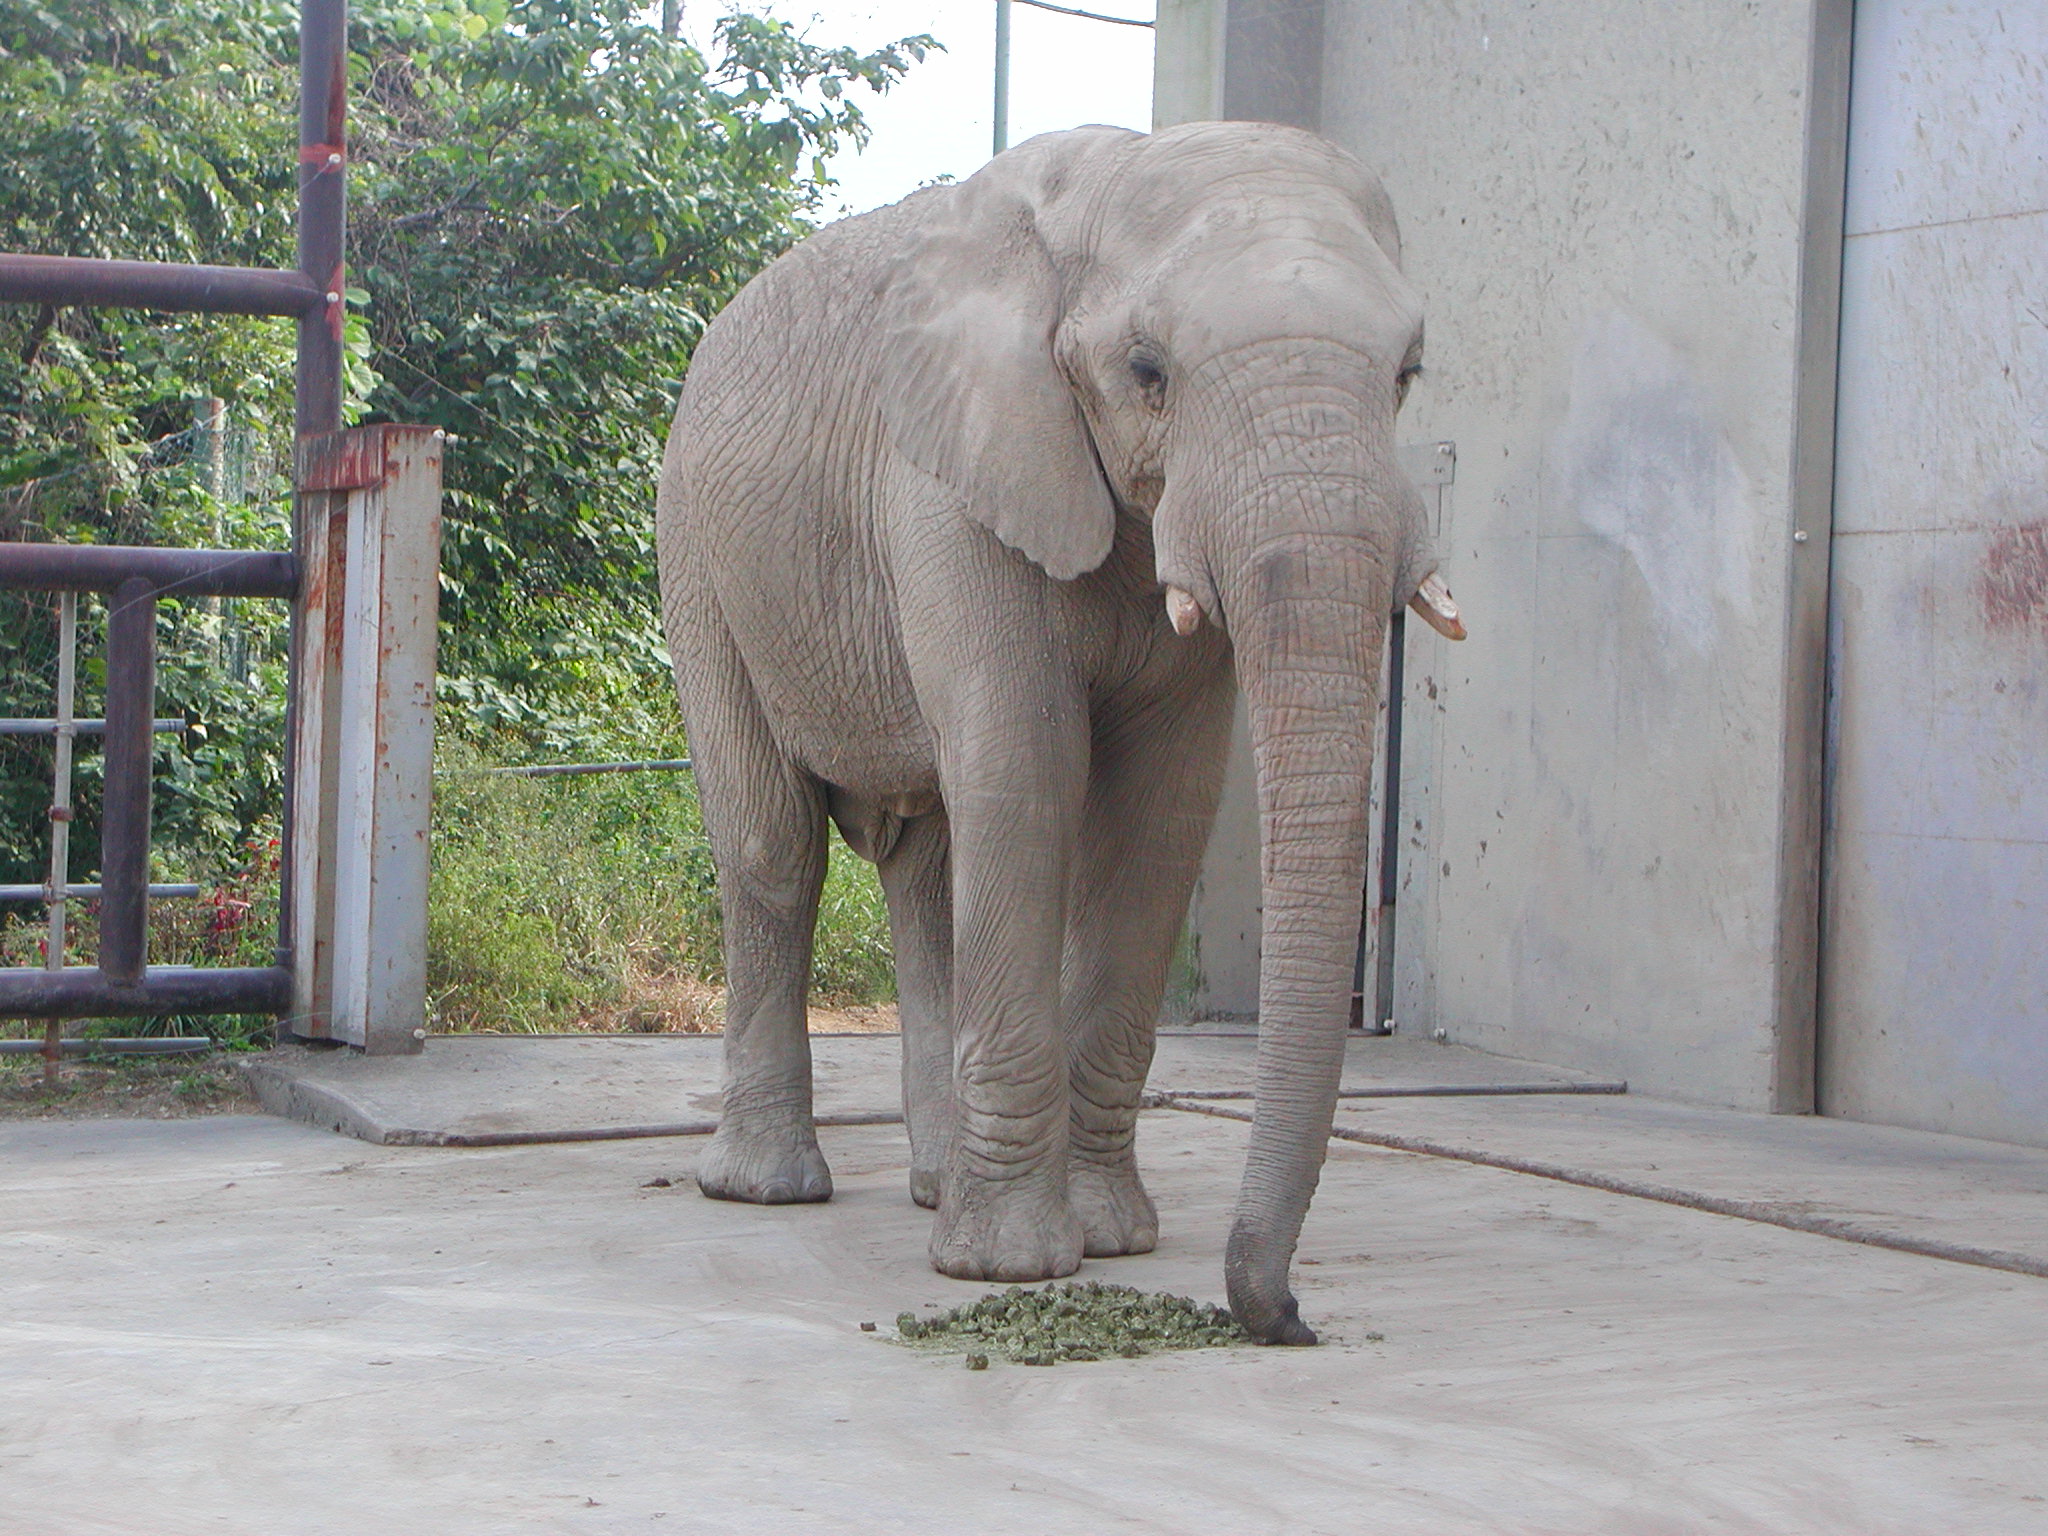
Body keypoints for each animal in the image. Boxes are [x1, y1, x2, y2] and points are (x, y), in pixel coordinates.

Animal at [647, 120, 1466, 1343]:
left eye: (1408, 372)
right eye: (1147, 371)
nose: (1286, 1317)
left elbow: (1161, 810)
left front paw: (1112, 1242)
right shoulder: (950, 482)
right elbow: (1025, 766)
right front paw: (1010, 1270)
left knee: (927, 865)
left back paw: (935, 1183)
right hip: (698, 554)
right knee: (772, 848)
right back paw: (766, 1191)